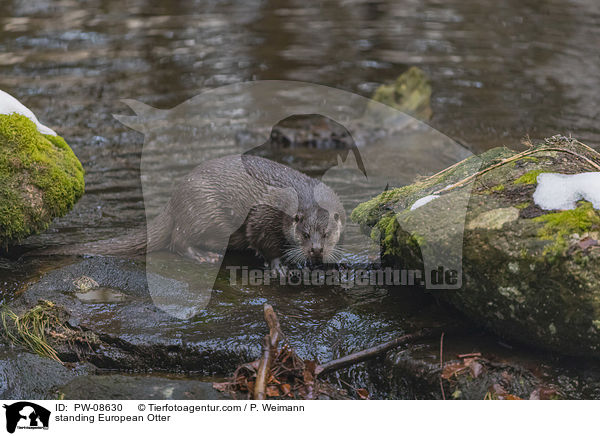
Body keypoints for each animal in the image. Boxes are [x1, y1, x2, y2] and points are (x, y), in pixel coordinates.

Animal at [39, 155, 344, 268]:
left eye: (327, 234)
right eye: (304, 234)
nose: (316, 250)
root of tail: (173, 201)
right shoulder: (263, 214)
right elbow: (263, 241)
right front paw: (279, 265)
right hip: (202, 210)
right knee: (178, 240)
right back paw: (203, 256)